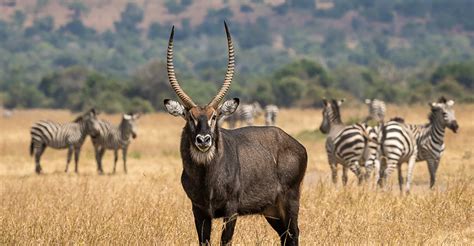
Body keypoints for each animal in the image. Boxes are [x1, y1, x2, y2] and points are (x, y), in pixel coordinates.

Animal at [163, 22, 308, 245]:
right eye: (189, 117)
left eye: (215, 116)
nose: (203, 140)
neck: (207, 177)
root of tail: (295, 143)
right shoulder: (199, 210)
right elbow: (204, 241)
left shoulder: (231, 209)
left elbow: (226, 240)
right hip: (271, 210)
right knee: (285, 236)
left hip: (290, 200)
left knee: (294, 234)